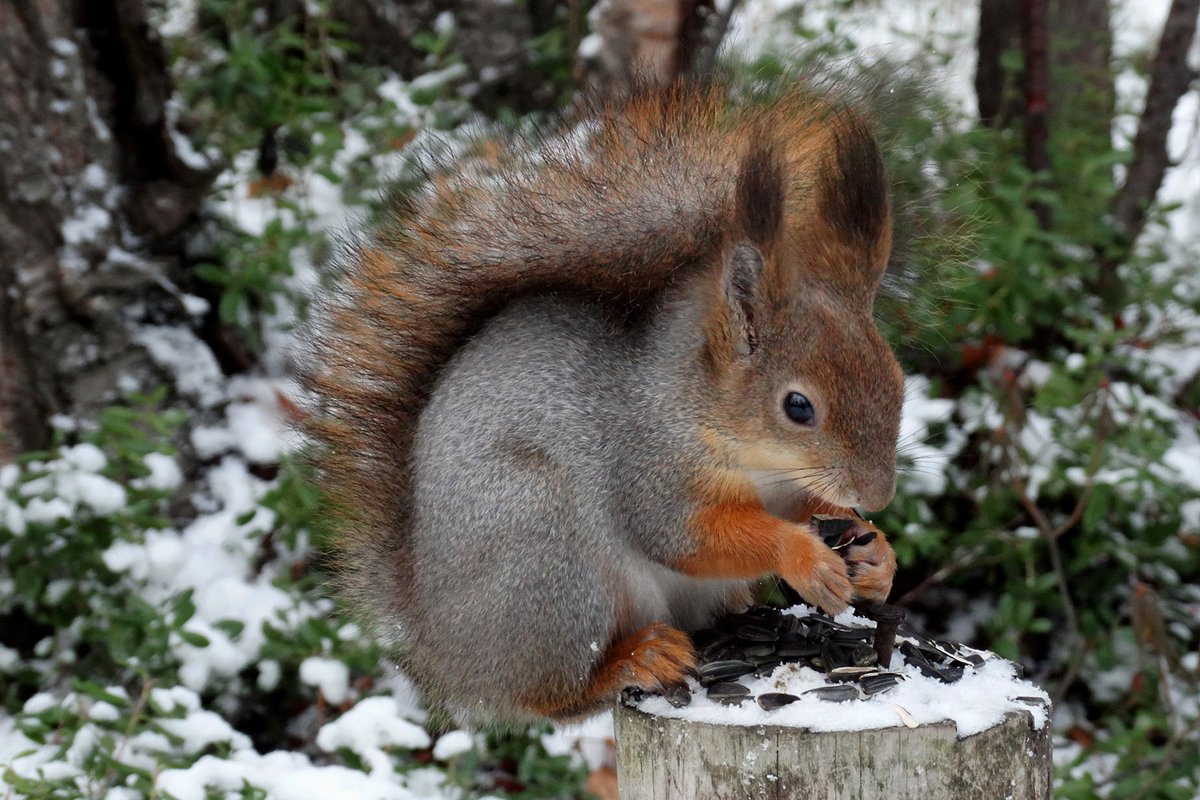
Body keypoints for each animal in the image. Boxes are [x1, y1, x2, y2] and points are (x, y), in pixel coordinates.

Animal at [304, 79, 902, 724]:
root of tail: (448, 655)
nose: (878, 494)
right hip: (547, 556)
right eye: (798, 407)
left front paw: (875, 553)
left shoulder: (789, 487)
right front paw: (804, 558)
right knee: (555, 695)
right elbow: (685, 536)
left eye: (897, 381)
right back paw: (636, 660)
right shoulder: (648, 464)